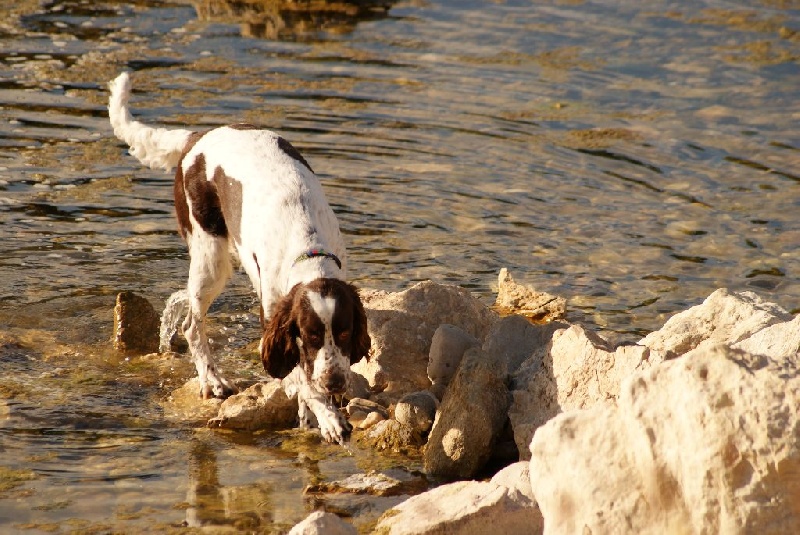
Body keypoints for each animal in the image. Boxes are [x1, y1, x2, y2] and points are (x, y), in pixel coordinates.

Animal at [108, 73, 370, 446]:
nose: (334, 382)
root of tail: (197, 137)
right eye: (312, 336)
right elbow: (301, 377)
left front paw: (310, 416)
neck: (309, 253)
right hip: (209, 258)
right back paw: (212, 380)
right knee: (191, 324)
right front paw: (329, 418)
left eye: (346, 332)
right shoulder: (274, 318)